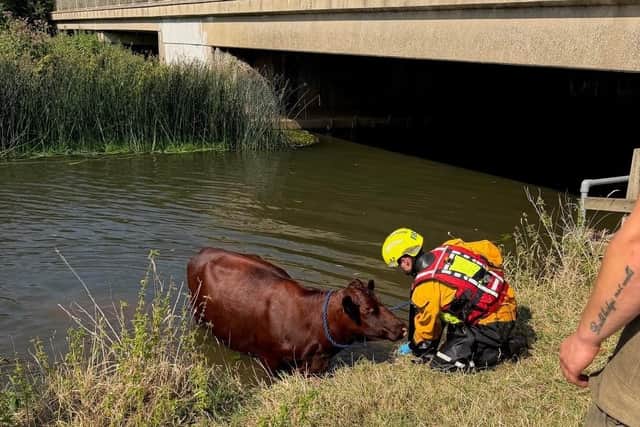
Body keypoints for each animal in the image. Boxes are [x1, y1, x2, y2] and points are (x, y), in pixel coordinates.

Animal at [186, 247, 407, 375]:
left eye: (379, 301)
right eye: (369, 309)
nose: (403, 327)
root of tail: (202, 252)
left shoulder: (315, 365)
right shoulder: (270, 361)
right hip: (198, 315)